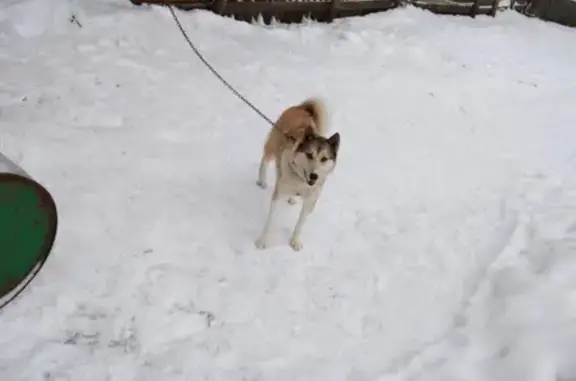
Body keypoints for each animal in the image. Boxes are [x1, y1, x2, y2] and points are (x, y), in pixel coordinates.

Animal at [254, 96, 340, 251]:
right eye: (309, 154)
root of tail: (303, 108)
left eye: (324, 159)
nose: (314, 176)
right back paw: (262, 181)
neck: (301, 182)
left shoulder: (310, 202)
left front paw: (294, 241)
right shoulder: (278, 195)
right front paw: (262, 241)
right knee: (265, 159)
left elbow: (300, 224)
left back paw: (292, 198)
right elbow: (270, 222)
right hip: (273, 145)